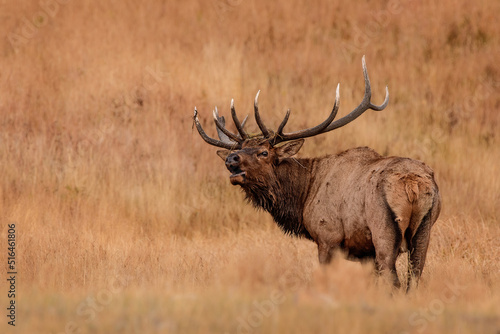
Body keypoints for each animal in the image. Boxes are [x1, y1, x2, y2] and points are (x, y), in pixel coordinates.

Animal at [193, 57, 440, 290]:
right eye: (241, 148)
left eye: (264, 152)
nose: (231, 159)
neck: (304, 196)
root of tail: (413, 184)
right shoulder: (364, 252)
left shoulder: (327, 236)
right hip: (425, 229)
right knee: (414, 279)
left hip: (383, 229)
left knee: (394, 281)